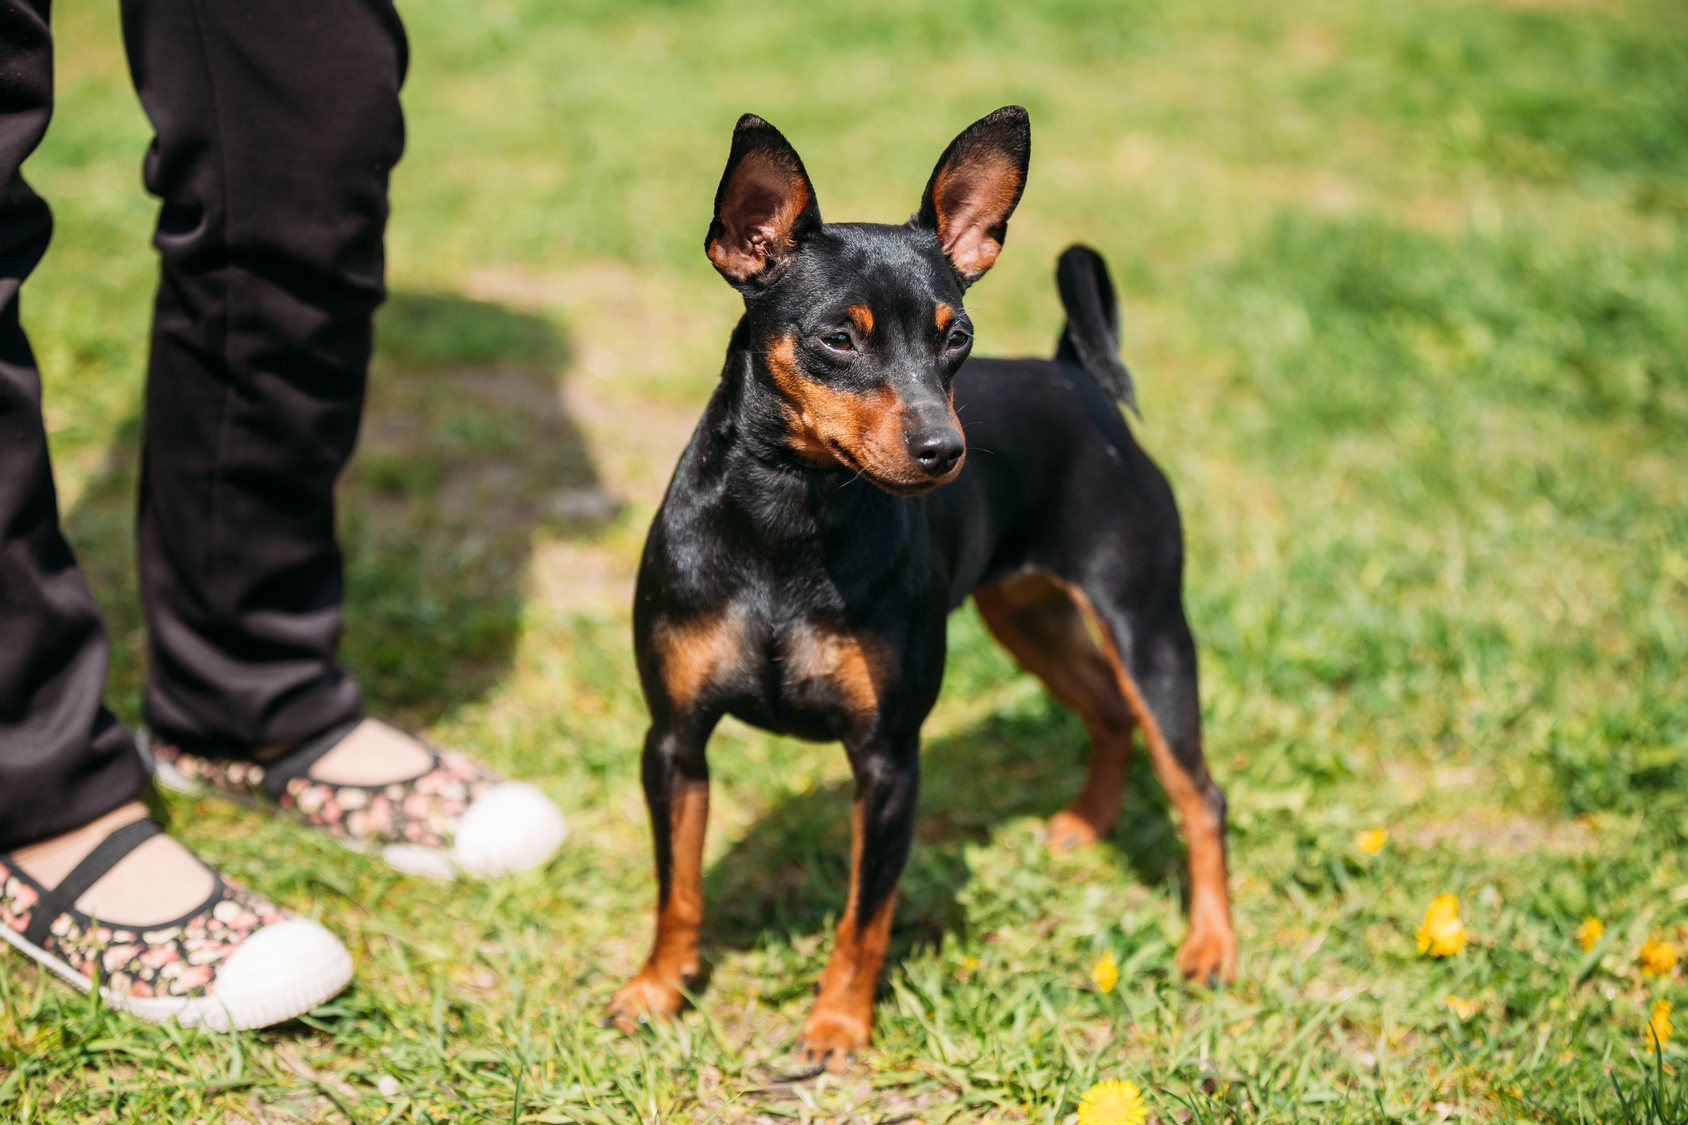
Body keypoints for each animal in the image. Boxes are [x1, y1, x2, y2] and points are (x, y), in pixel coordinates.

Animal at [611, 107, 1242, 1067]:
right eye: (839, 337)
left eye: (958, 339)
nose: (946, 450)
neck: (788, 519)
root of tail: (1075, 372)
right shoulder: (675, 739)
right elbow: (675, 885)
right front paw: (657, 988)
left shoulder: (888, 760)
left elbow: (864, 915)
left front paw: (838, 1024)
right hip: (1027, 616)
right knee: (1108, 711)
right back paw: (1087, 823)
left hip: (1147, 629)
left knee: (1199, 791)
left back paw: (1211, 942)